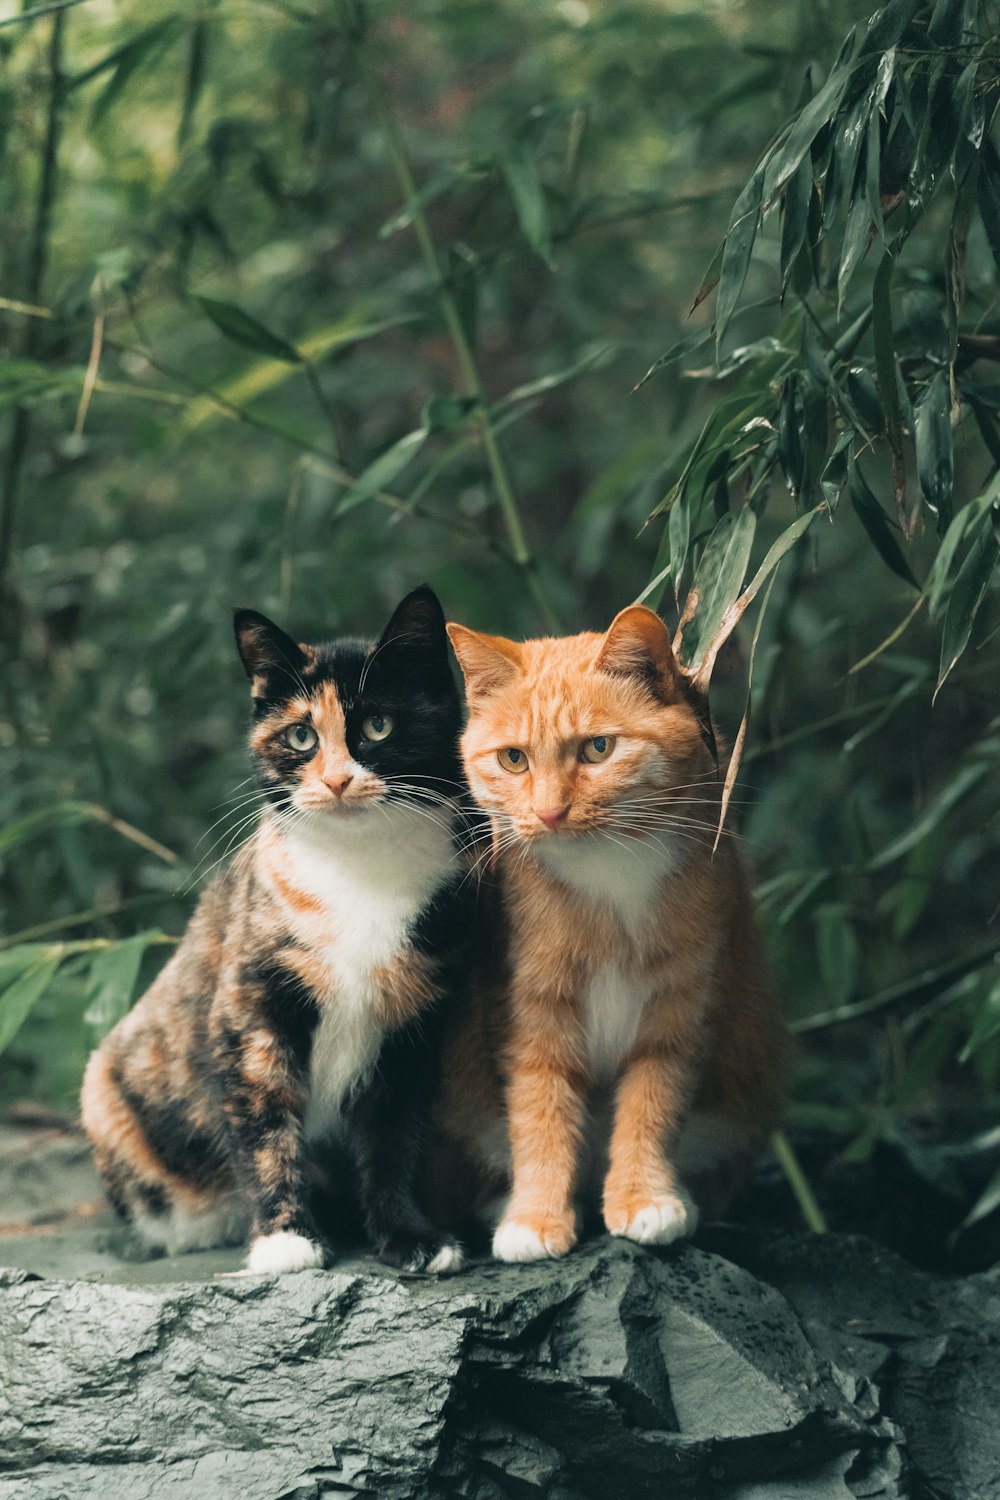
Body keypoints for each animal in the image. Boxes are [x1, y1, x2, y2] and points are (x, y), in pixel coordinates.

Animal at [80, 585, 470, 1278]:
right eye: (300, 735)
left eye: (378, 725)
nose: (337, 778)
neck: (362, 875)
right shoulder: (250, 1011)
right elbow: (264, 1124)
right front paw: (286, 1238)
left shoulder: (411, 1024)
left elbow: (394, 1138)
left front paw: (410, 1236)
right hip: (102, 1088)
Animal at [440, 603, 785, 1260]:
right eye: (513, 759)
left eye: (598, 749)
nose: (548, 813)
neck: (609, 871)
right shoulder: (535, 1011)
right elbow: (540, 1115)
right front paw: (536, 1217)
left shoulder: (679, 1007)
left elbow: (652, 1107)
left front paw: (644, 1197)